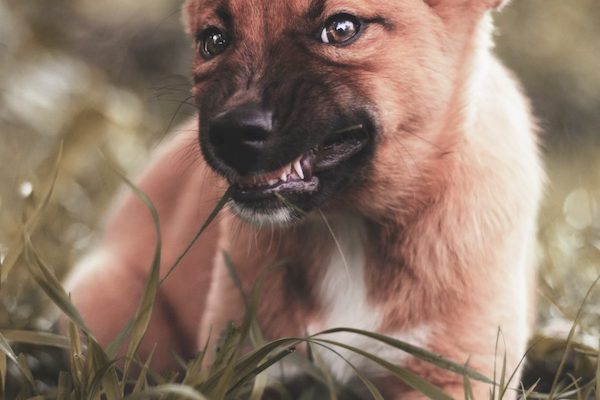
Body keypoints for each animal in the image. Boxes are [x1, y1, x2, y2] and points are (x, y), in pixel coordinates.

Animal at [65, 0, 544, 396]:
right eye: (213, 39)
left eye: (342, 28)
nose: (229, 134)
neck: (348, 229)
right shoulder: (244, 366)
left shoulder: (449, 375)